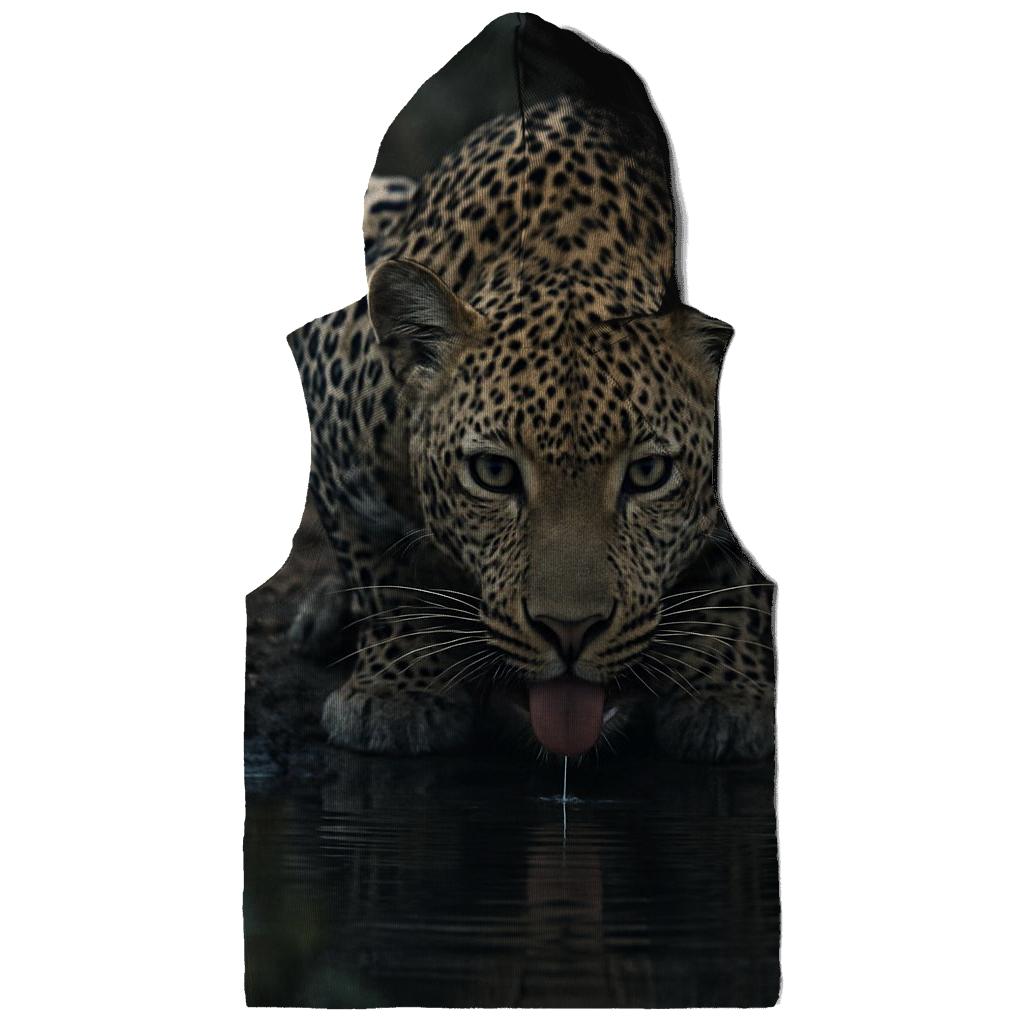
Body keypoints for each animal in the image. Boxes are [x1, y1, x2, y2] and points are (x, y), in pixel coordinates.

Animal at [285, 97, 776, 761]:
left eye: (648, 473)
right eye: (493, 473)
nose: (569, 631)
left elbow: (737, 575)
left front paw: (726, 695)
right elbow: (377, 572)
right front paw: (398, 694)